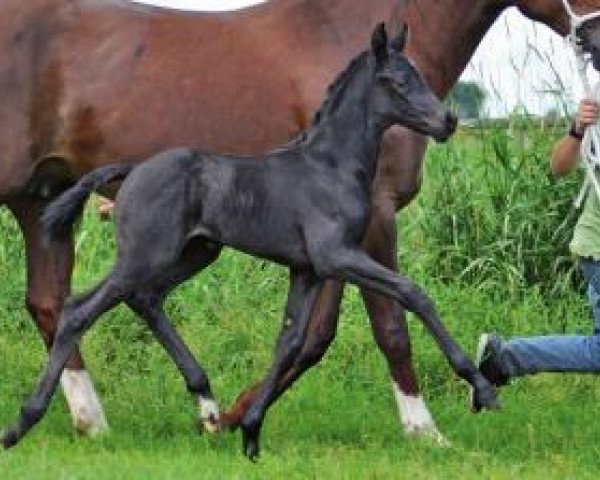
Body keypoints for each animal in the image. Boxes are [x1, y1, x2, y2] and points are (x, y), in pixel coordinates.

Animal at [1, 24, 496, 460]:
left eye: (419, 75)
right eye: (397, 81)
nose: (448, 120)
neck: (330, 167)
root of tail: (131, 169)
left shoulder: (308, 270)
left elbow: (290, 341)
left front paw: (252, 430)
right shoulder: (337, 256)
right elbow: (412, 292)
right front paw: (482, 387)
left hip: (197, 251)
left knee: (145, 299)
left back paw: (206, 405)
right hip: (144, 255)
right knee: (78, 310)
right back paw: (24, 423)